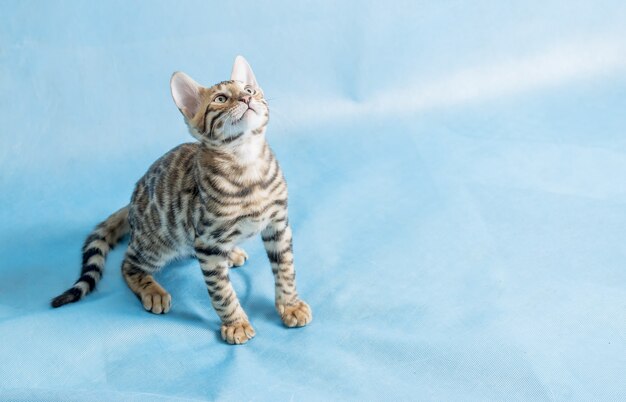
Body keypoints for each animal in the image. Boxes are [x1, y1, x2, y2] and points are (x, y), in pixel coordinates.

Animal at [52, 55, 310, 346]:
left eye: (249, 90)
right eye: (221, 98)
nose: (246, 98)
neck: (247, 164)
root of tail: (131, 204)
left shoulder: (278, 225)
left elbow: (286, 269)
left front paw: (290, 305)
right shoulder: (209, 243)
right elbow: (221, 291)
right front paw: (236, 323)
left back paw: (232, 253)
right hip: (157, 243)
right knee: (128, 263)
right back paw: (153, 290)